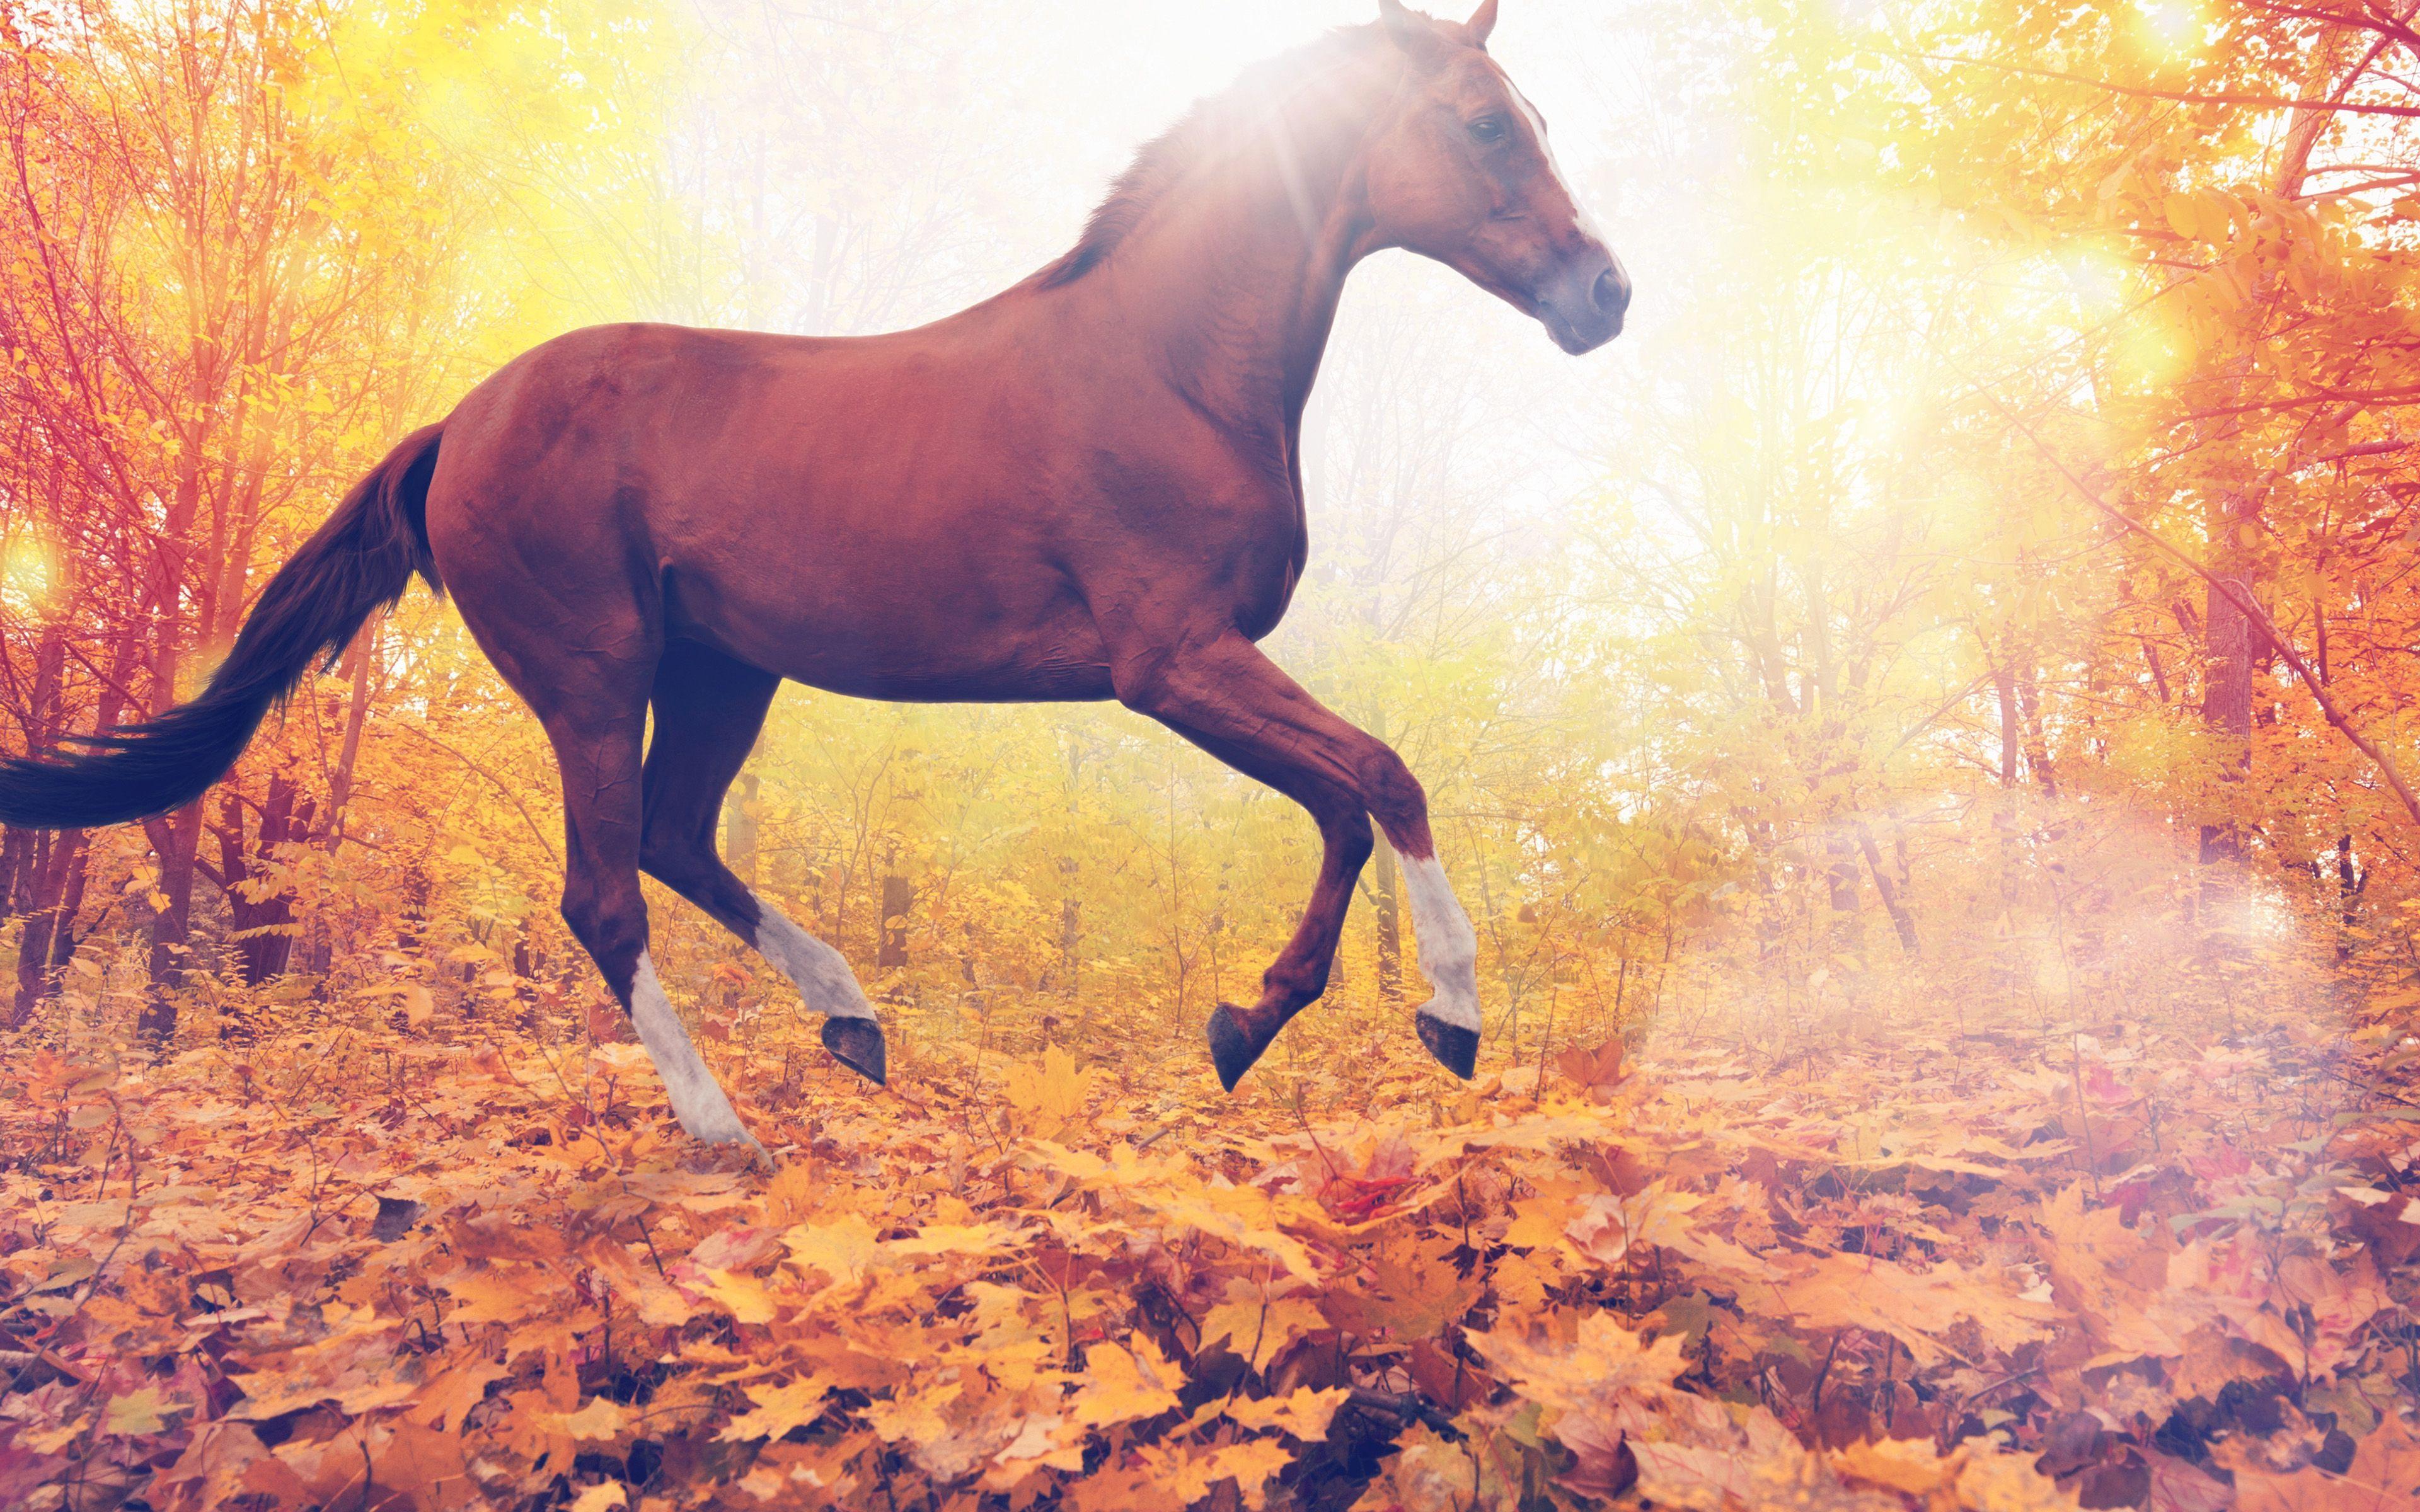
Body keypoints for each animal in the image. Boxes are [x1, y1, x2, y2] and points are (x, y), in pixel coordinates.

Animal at [0, 0, 1626, 1147]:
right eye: (1484, 124)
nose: (1602, 293)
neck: (1164, 364)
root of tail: (458, 422)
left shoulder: (1193, 671)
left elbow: (1343, 804)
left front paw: (1248, 1023)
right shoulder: (1170, 662)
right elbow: (1384, 777)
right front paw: (1452, 1017)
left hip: (727, 670)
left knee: (675, 841)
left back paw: (853, 1023)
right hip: (596, 677)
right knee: (606, 894)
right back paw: (730, 1129)